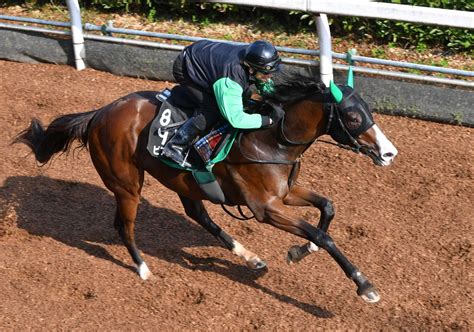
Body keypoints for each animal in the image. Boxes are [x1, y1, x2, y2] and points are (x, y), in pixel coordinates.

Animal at [13, 67, 396, 304]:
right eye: (352, 116)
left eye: (370, 111)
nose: (389, 153)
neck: (271, 138)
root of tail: (99, 113)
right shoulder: (266, 208)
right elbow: (323, 235)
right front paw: (364, 285)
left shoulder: (284, 194)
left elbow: (328, 207)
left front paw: (301, 250)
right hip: (126, 185)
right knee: (124, 226)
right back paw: (143, 269)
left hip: (182, 181)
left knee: (199, 214)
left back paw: (249, 256)